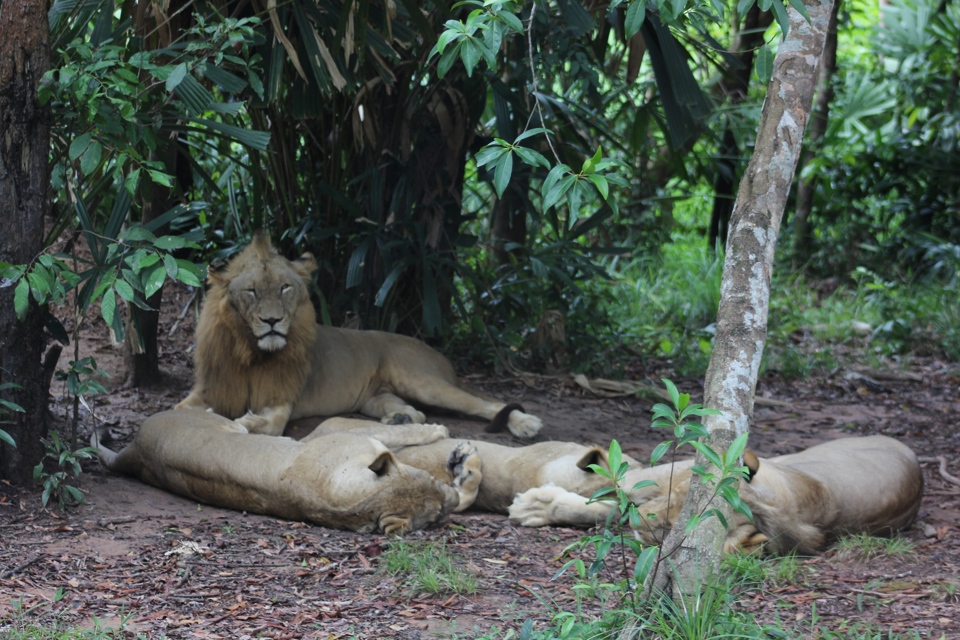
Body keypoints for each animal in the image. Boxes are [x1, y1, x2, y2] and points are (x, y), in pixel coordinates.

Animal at [93, 410, 468, 536]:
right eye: (435, 516)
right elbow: (400, 432)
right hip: (215, 421)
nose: (451, 500)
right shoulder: (328, 432)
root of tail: (137, 446)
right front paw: (437, 429)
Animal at [176, 232, 544, 438]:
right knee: (417, 411)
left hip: (423, 381)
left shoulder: (281, 400)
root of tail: (436, 352)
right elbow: (179, 412)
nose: (271, 320)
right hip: (377, 396)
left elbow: (267, 424)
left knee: (486, 403)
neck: (250, 352)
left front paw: (244, 422)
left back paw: (526, 424)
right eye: (251, 291)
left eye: (284, 288)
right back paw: (400, 419)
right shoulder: (207, 389)